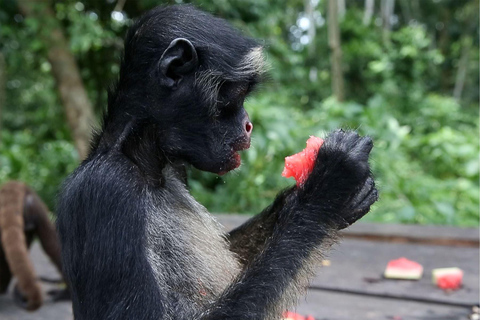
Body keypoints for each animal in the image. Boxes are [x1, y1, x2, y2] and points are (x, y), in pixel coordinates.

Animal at [56, 3, 378, 318]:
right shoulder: (106, 188)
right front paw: (328, 187)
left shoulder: (176, 167)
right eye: (238, 93)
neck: (142, 161)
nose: (249, 125)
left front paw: (297, 198)